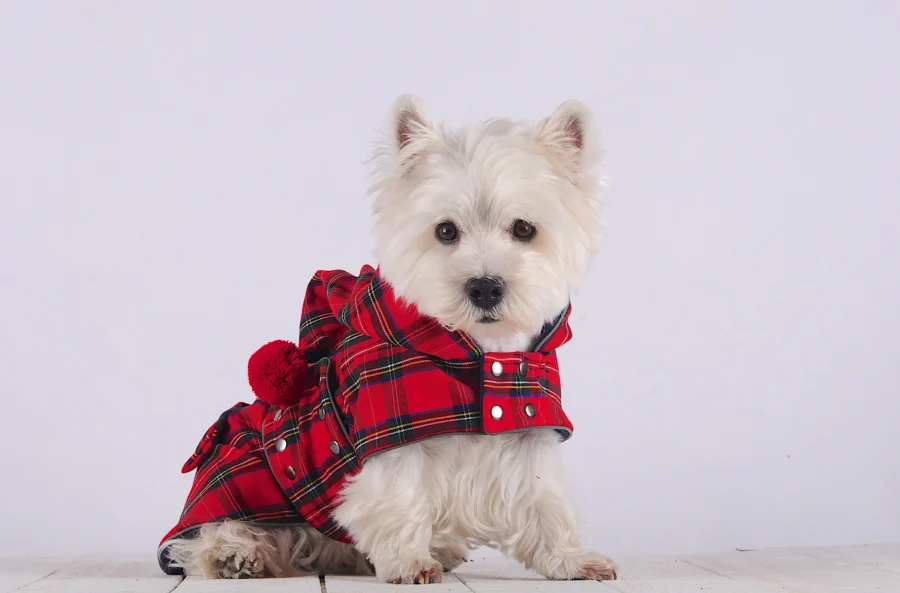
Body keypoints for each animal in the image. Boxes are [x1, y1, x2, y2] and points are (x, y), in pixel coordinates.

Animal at [165, 95, 616, 580]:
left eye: (524, 229)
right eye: (445, 230)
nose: (484, 287)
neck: (477, 351)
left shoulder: (526, 430)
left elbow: (544, 502)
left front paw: (573, 560)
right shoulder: (388, 437)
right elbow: (399, 499)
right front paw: (409, 561)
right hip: (247, 481)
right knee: (213, 533)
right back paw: (234, 552)